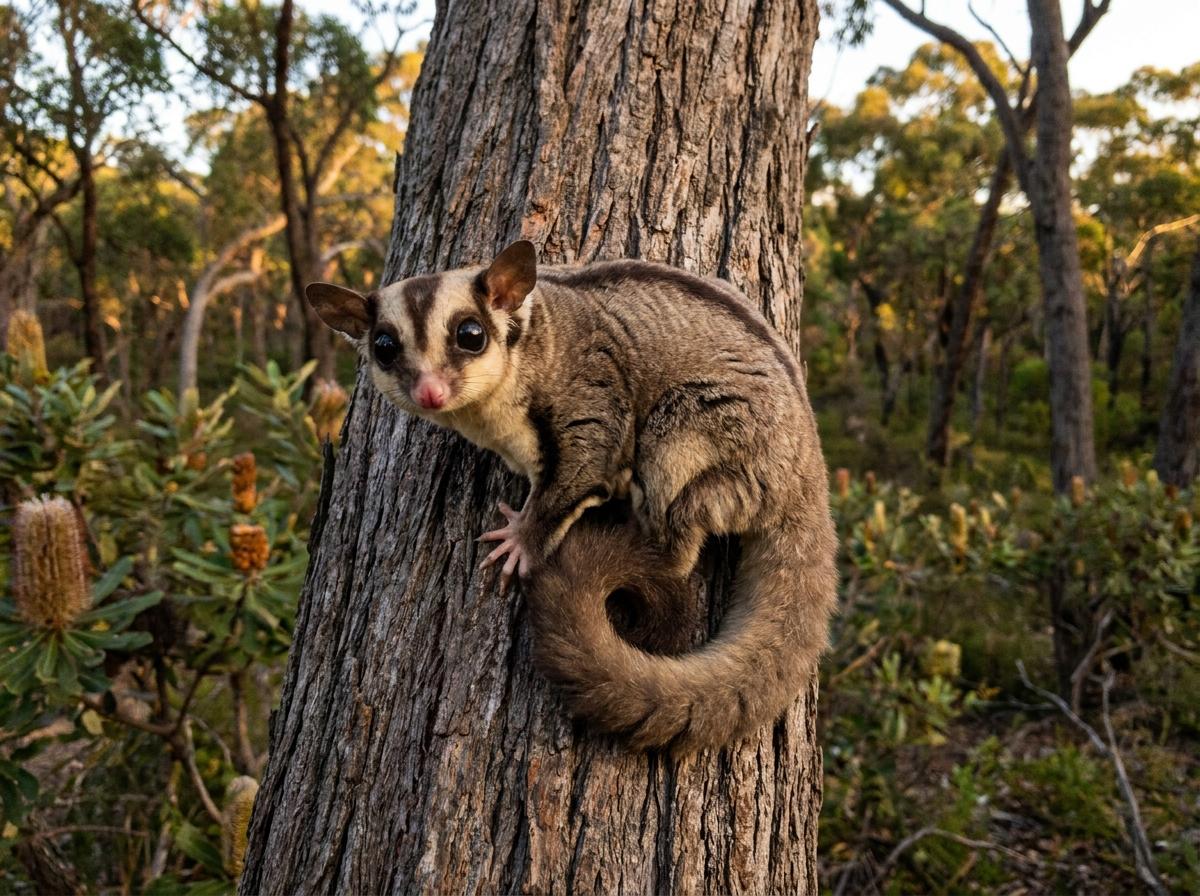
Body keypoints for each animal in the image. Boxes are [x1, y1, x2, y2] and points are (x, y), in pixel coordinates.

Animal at [306, 240, 838, 752]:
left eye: (471, 335)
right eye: (384, 347)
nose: (429, 393)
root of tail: (808, 475)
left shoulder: (584, 392)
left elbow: (586, 464)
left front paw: (522, 539)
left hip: (718, 436)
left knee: (674, 526)